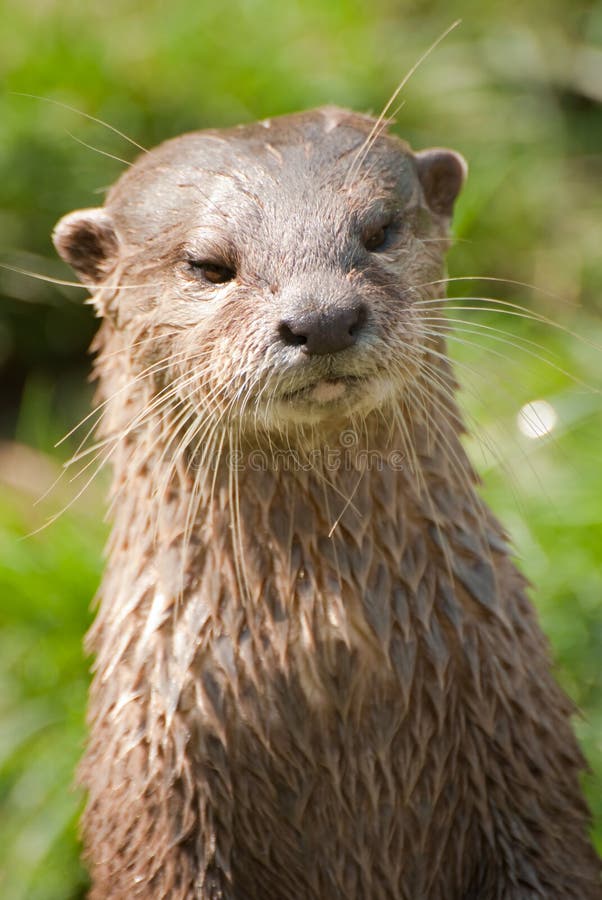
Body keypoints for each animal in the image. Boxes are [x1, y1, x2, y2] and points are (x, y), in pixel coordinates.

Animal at [54, 107, 596, 900]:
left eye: (380, 230)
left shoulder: (526, 756)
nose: (324, 318)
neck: (327, 654)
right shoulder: (155, 801)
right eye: (207, 265)